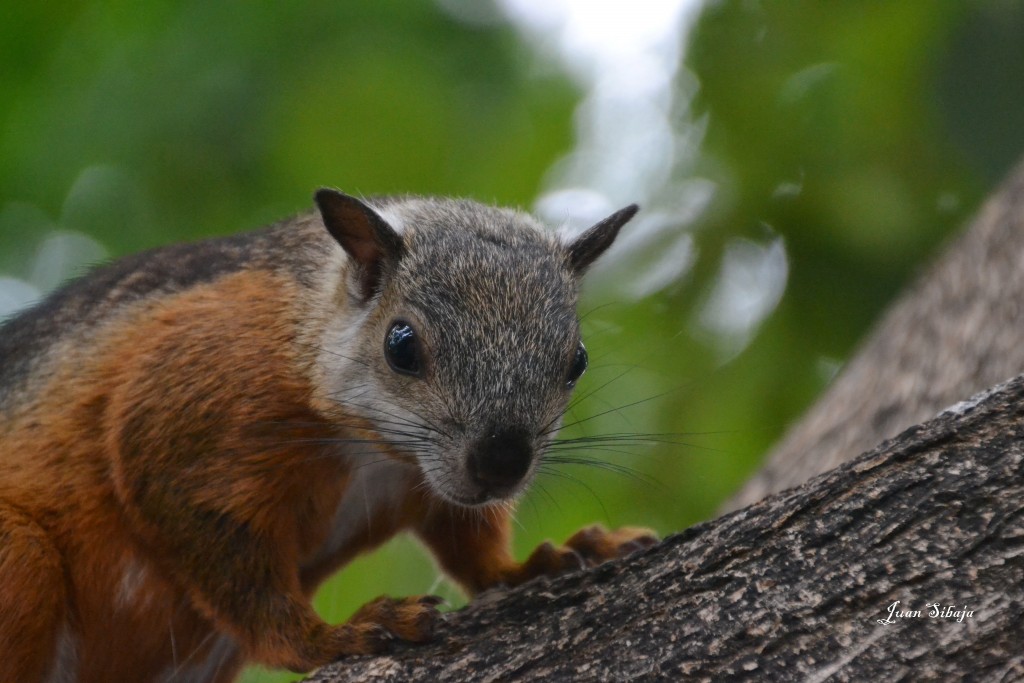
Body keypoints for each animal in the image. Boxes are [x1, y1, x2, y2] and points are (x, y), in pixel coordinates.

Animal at [0, 189, 656, 682]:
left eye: (577, 360)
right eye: (401, 345)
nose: (501, 464)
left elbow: (472, 548)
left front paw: (539, 561)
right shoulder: (180, 412)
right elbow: (236, 574)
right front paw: (331, 636)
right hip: (20, 555)